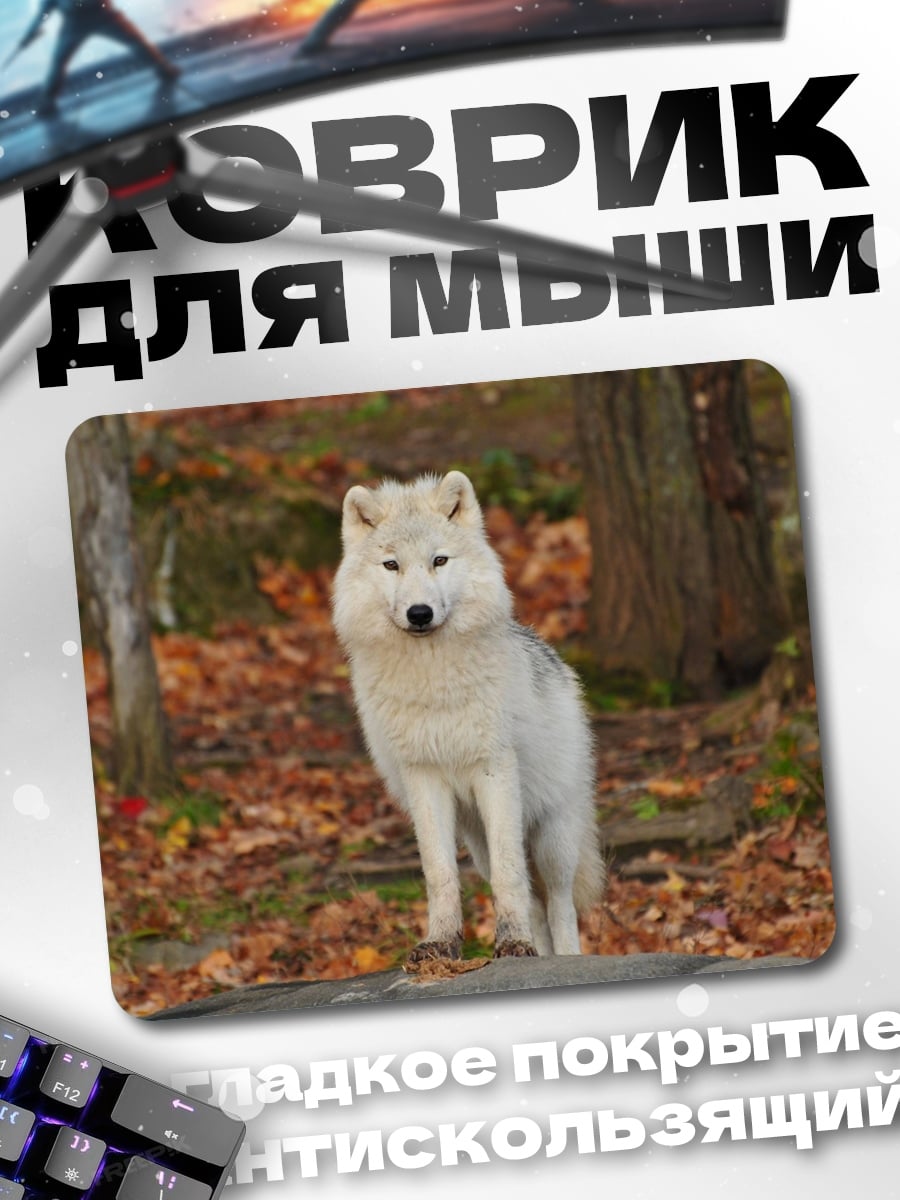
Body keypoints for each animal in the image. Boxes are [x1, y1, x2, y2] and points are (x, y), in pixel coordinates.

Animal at [332, 470, 605, 962]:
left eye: (439, 560)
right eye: (391, 565)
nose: (419, 613)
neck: (432, 682)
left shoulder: (494, 770)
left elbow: (511, 875)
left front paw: (512, 942)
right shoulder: (423, 777)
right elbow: (440, 873)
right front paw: (441, 944)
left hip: (552, 835)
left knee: (559, 902)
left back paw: (566, 959)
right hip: (476, 842)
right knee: (533, 901)